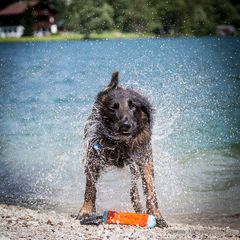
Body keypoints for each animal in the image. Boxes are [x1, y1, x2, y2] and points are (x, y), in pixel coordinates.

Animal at [78, 71, 168, 227]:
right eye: (113, 107)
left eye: (133, 107)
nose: (125, 125)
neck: (121, 143)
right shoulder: (94, 156)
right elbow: (90, 187)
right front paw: (86, 211)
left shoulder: (143, 159)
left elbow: (150, 190)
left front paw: (156, 215)